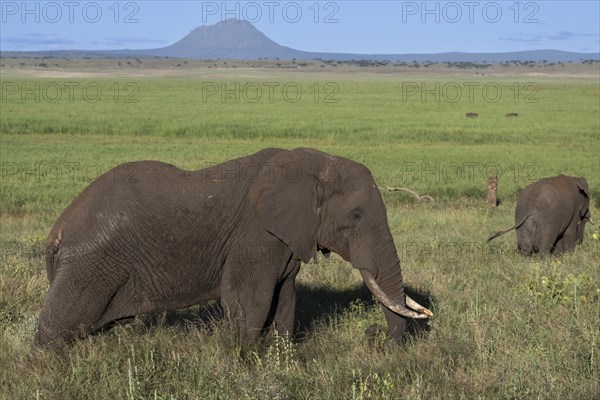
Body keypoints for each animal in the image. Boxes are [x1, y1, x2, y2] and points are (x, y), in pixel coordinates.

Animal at [36, 148, 432, 346]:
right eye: (356, 215)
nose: (374, 336)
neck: (316, 163)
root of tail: (58, 229)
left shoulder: (286, 239)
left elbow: (284, 299)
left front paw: (279, 356)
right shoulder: (255, 236)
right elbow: (250, 300)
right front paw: (244, 359)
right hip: (89, 264)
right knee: (56, 328)